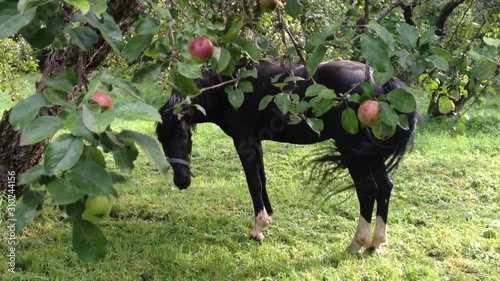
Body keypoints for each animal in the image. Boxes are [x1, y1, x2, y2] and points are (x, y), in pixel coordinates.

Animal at [157, 59, 418, 254]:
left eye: (183, 134)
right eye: (161, 139)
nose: (181, 181)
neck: (230, 88)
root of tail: (380, 83)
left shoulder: (244, 142)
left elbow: (253, 183)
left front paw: (257, 230)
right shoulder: (256, 142)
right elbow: (262, 180)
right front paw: (268, 219)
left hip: (353, 151)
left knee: (368, 190)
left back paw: (357, 243)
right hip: (371, 152)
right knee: (385, 187)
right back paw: (376, 243)